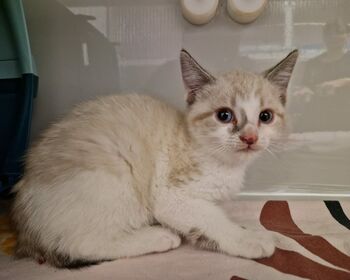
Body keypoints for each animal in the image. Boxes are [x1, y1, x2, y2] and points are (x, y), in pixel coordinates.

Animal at [13, 49, 298, 268]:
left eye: (265, 116)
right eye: (224, 115)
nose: (250, 138)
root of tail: (24, 225)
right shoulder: (171, 196)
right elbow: (213, 219)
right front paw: (250, 239)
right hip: (115, 176)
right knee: (80, 243)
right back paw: (159, 237)